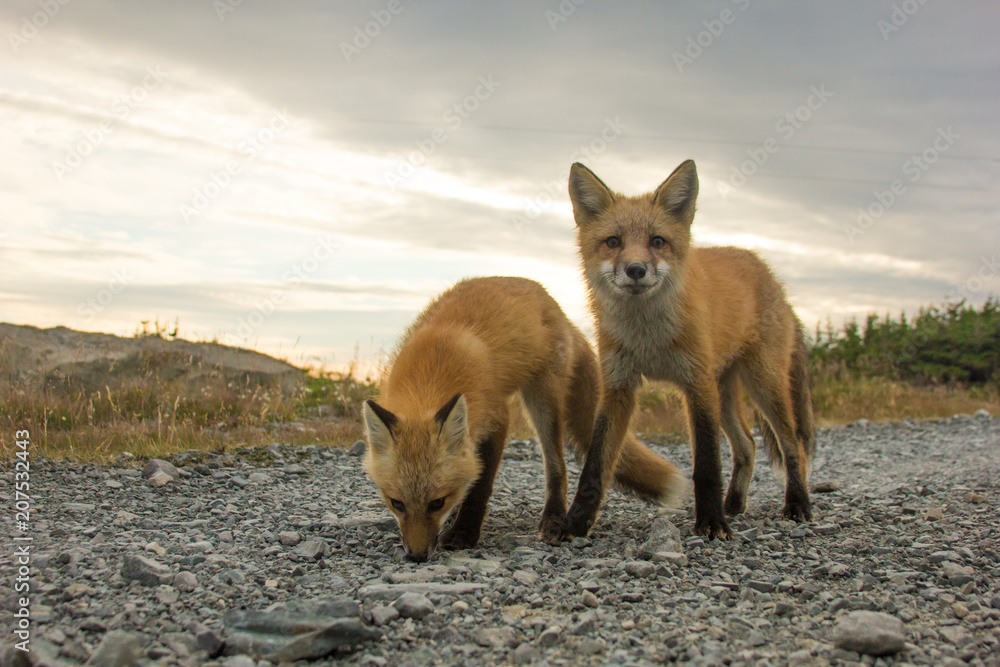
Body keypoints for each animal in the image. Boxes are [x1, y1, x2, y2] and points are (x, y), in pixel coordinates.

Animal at [362, 276, 687, 561]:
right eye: (397, 503)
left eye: (436, 503)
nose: (417, 557)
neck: (430, 374)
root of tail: (554, 305)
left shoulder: (497, 419)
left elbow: (480, 485)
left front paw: (464, 532)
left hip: (542, 401)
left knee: (557, 468)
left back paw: (554, 517)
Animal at [562, 160, 815, 541]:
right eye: (613, 242)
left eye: (657, 242)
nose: (635, 270)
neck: (649, 338)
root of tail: (772, 278)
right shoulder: (618, 387)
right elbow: (595, 465)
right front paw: (574, 524)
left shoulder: (696, 385)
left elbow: (707, 465)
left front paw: (711, 523)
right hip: (724, 394)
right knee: (748, 446)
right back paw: (734, 505)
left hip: (763, 386)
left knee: (792, 445)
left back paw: (797, 504)